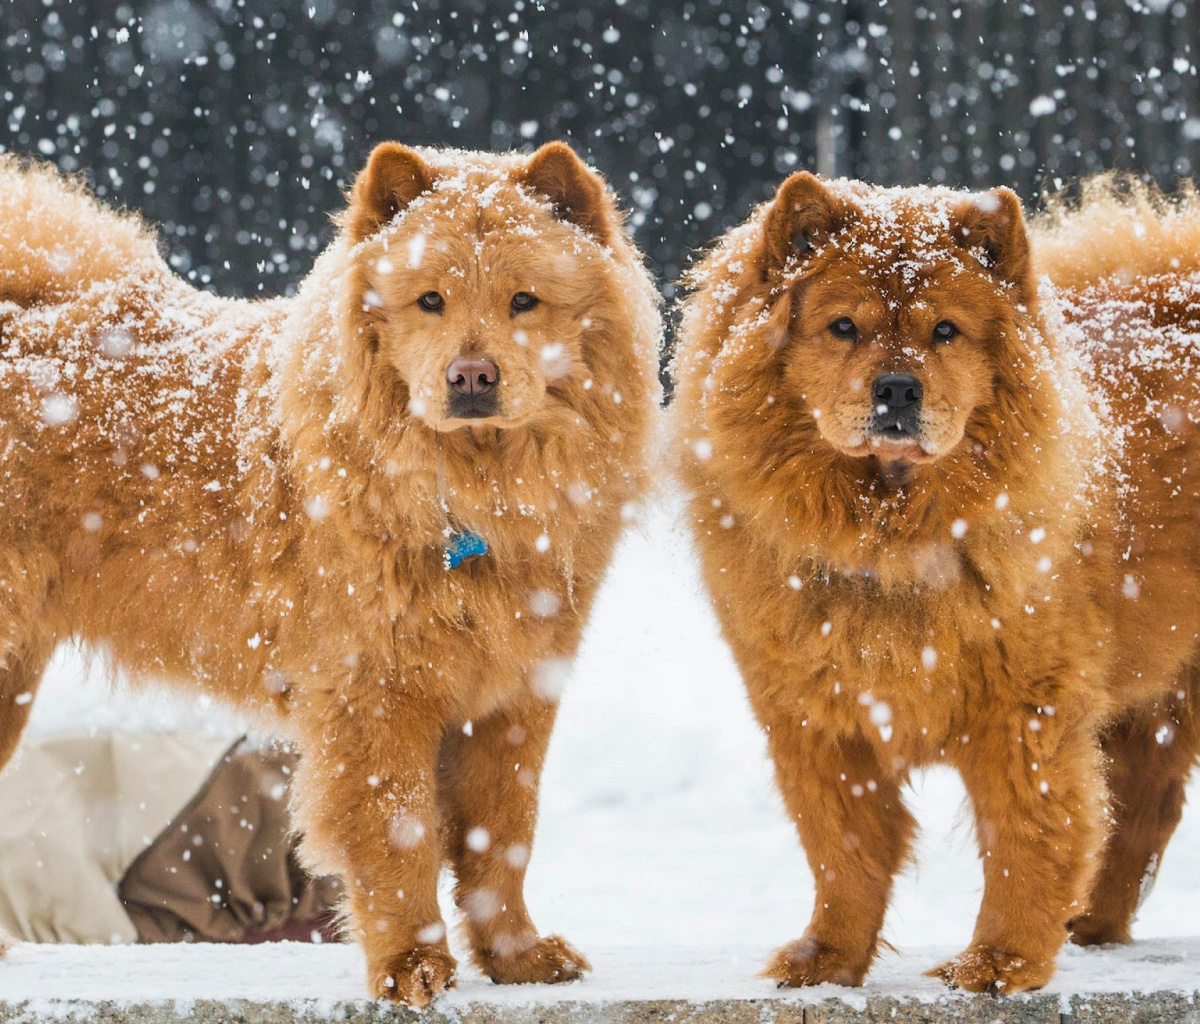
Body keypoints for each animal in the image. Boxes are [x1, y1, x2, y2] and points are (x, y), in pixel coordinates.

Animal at [0, 141, 662, 998]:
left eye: (524, 301)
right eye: (430, 301)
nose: (472, 376)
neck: (474, 495)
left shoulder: (516, 693)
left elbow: (502, 839)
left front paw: (518, 957)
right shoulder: (375, 692)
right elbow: (400, 835)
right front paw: (412, 967)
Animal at [672, 174, 1200, 989]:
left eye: (946, 331)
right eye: (843, 328)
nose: (897, 388)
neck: (891, 536)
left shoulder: (1025, 712)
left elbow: (1026, 837)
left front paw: (999, 963)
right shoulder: (814, 717)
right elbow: (843, 847)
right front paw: (827, 958)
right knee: (1145, 808)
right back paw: (1093, 927)